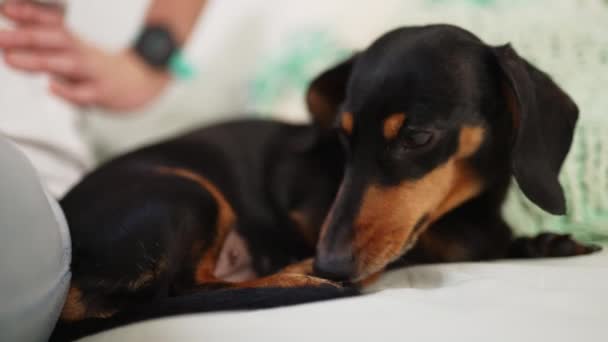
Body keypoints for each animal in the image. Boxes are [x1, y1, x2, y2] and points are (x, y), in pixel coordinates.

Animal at [51, 24, 600, 340]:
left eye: (417, 136)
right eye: (342, 134)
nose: (329, 262)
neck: (469, 210)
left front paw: (547, 243)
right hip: (188, 194)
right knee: (177, 290)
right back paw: (297, 277)